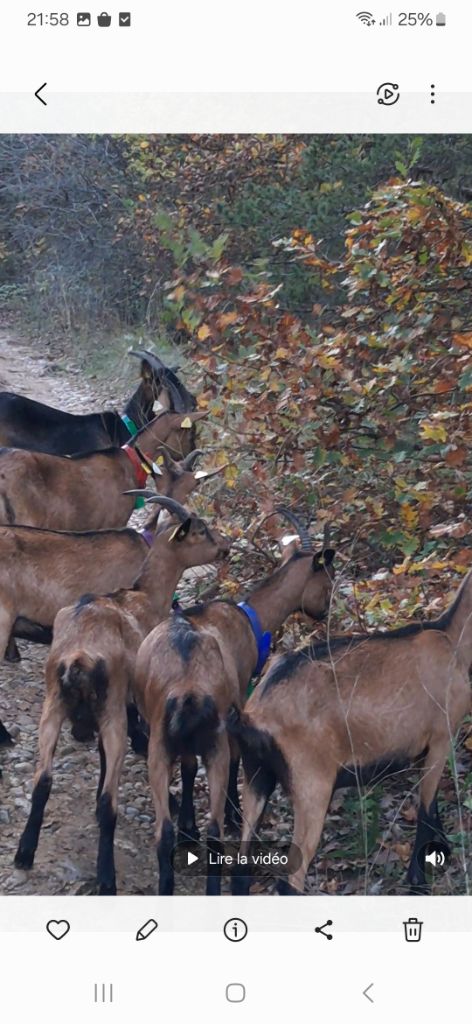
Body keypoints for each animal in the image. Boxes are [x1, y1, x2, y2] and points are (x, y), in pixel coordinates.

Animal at [13, 491, 229, 892]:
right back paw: (107, 878)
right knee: (107, 802)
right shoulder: (132, 702)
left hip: (53, 707)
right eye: (201, 530)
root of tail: (78, 656)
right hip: (111, 711)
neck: (144, 596)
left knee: (43, 779)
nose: (225, 546)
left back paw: (24, 853)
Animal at [130, 509, 333, 897]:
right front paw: (234, 813)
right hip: (215, 744)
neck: (250, 617)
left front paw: (187, 827)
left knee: (163, 833)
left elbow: (188, 769)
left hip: (159, 746)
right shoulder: (238, 700)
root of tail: (187, 689)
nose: (324, 613)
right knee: (215, 832)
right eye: (328, 582)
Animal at [230, 569, 470, 897]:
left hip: (256, 775)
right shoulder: (441, 737)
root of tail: (252, 714)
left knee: (241, 867)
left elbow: (431, 808)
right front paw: (418, 880)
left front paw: (442, 852)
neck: (453, 639)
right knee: (290, 879)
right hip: (311, 783)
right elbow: (425, 807)